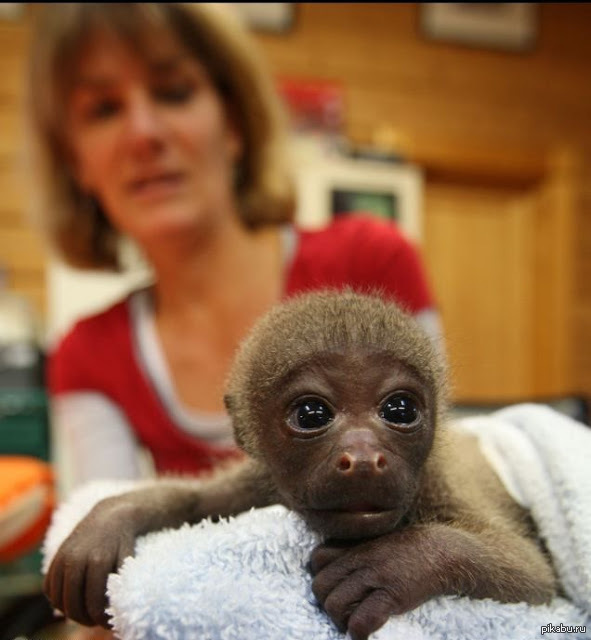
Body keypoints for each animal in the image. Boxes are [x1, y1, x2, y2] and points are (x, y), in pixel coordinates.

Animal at [44, 292, 556, 636]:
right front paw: (108, 520)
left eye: (400, 410)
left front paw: (394, 564)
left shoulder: (437, 481)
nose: (364, 458)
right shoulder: (261, 483)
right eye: (312, 414)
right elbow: (198, 501)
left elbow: (533, 574)